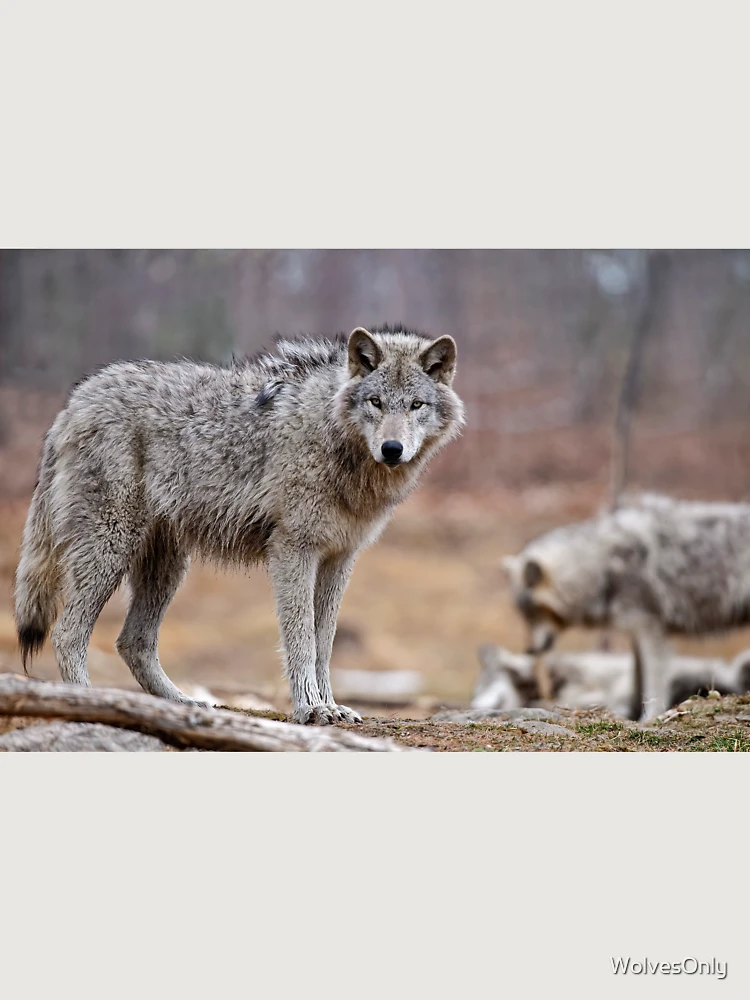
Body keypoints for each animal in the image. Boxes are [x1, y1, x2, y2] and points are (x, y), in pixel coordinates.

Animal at [14, 325, 464, 724]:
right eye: (375, 402)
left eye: (415, 405)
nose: (392, 449)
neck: (330, 433)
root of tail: (74, 401)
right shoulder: (293, 552)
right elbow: (301, 639)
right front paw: (311, 709)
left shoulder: (339, 559)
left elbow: (324, 644)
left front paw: (332, 706)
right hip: (112, 549)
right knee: (68, 634)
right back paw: (91, 705)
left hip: (167, 566)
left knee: (133, 643)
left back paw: (180, 704)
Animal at [502, 495, 750, 720]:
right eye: (525, 616)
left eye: (532, 613)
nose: (530, 650)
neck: (603, 566)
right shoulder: (637, 634)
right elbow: (637, 683)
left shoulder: (652, 631)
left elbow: (653, 685)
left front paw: (648, 718)